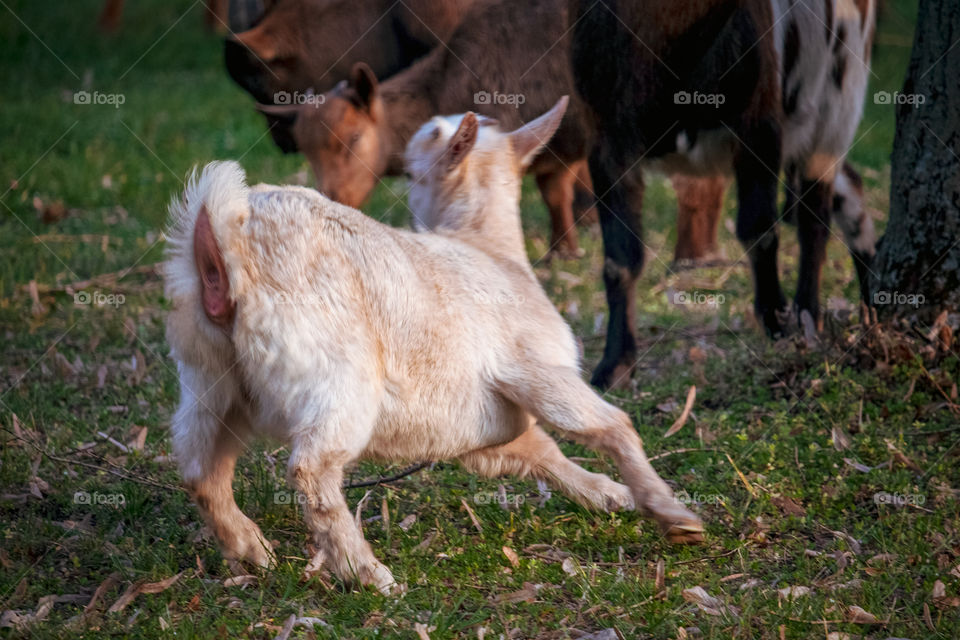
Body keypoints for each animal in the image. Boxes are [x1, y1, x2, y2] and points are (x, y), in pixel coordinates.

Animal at [165, 99, 704, 596]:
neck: (489, 248)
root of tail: (227, 238)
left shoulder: (483, 426)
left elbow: (539, 450)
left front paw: (609, 494)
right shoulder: (537, 369)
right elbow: (609, 425)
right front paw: (672, 514)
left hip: (211, 378)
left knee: (200, 467)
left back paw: (250, 549)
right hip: (337, 378)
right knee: (310, 469)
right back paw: (367, 573)